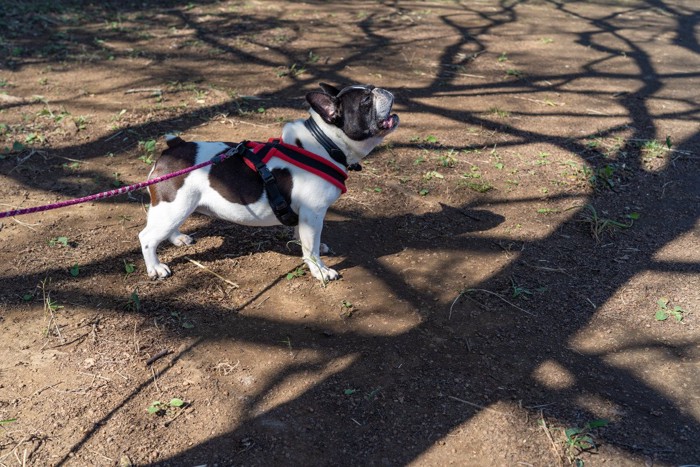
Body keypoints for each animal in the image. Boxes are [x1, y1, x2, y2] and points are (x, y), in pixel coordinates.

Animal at [138, 82, 400, 282]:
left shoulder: (305, 215)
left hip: (176, 207)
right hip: (174, 206)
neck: (326, 143)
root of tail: (173, 148)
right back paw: (156, 268)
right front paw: (320, 270)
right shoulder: (313, 213)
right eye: (366, 100)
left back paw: (177, 238)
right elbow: (311, 248)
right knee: (147, 238)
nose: (381, 89)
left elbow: (303, 236)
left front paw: (303, 244)